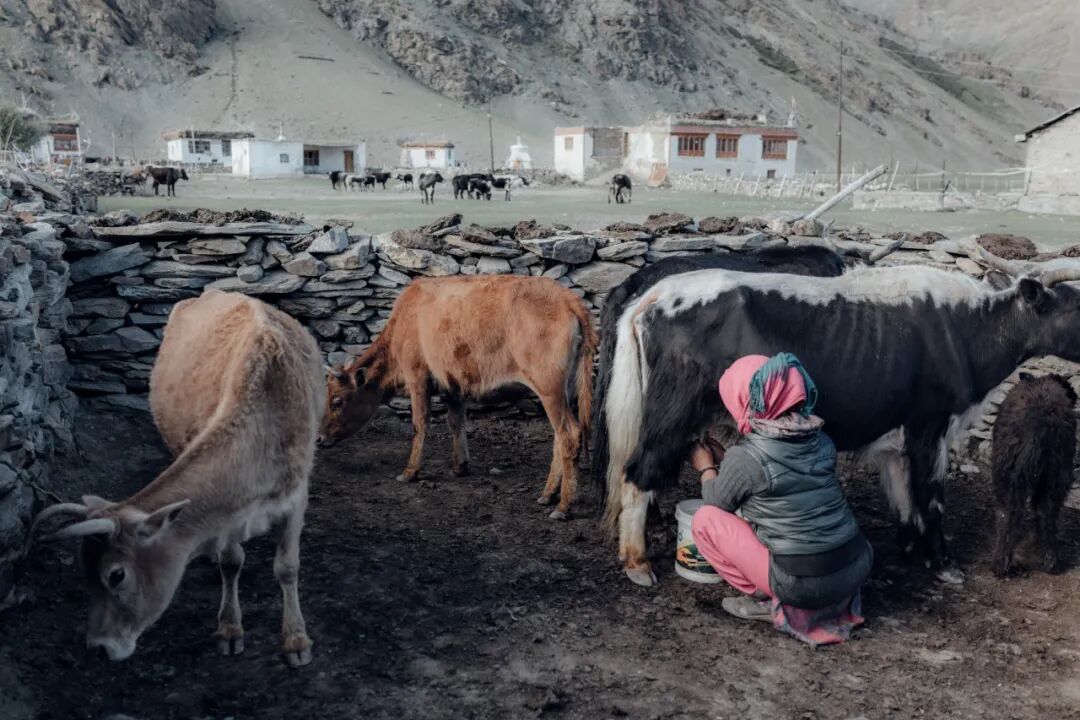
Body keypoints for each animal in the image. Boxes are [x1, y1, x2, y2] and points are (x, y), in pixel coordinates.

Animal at [26, 290, 324, 665]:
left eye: (116, 574)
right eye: (84, 570)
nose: (98, 647)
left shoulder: (297, 492)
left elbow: (287, 567)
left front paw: (296, 640)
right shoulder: (227, 509)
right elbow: (231, 561)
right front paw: (229, 629)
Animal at [318, 275, 598, 519]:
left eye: (336, 401)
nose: (319, 439)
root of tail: (565, 296)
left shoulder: (417, 375)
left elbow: (420, 423)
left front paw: (410, 471)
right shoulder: (452, 384)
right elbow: (456, 422)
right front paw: (459, 466)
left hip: (549, 387)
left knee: (569, 434)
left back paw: (563, 506)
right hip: (562, 390)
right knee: (559, 438)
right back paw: (548, 494)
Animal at [991, 372, 1077, 576]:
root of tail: (1041, 418)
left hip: (1009, 474)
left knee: (1009, 512)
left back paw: (1001, 565)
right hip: (1055, 474)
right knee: (1047, 512)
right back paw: (1051, 561)